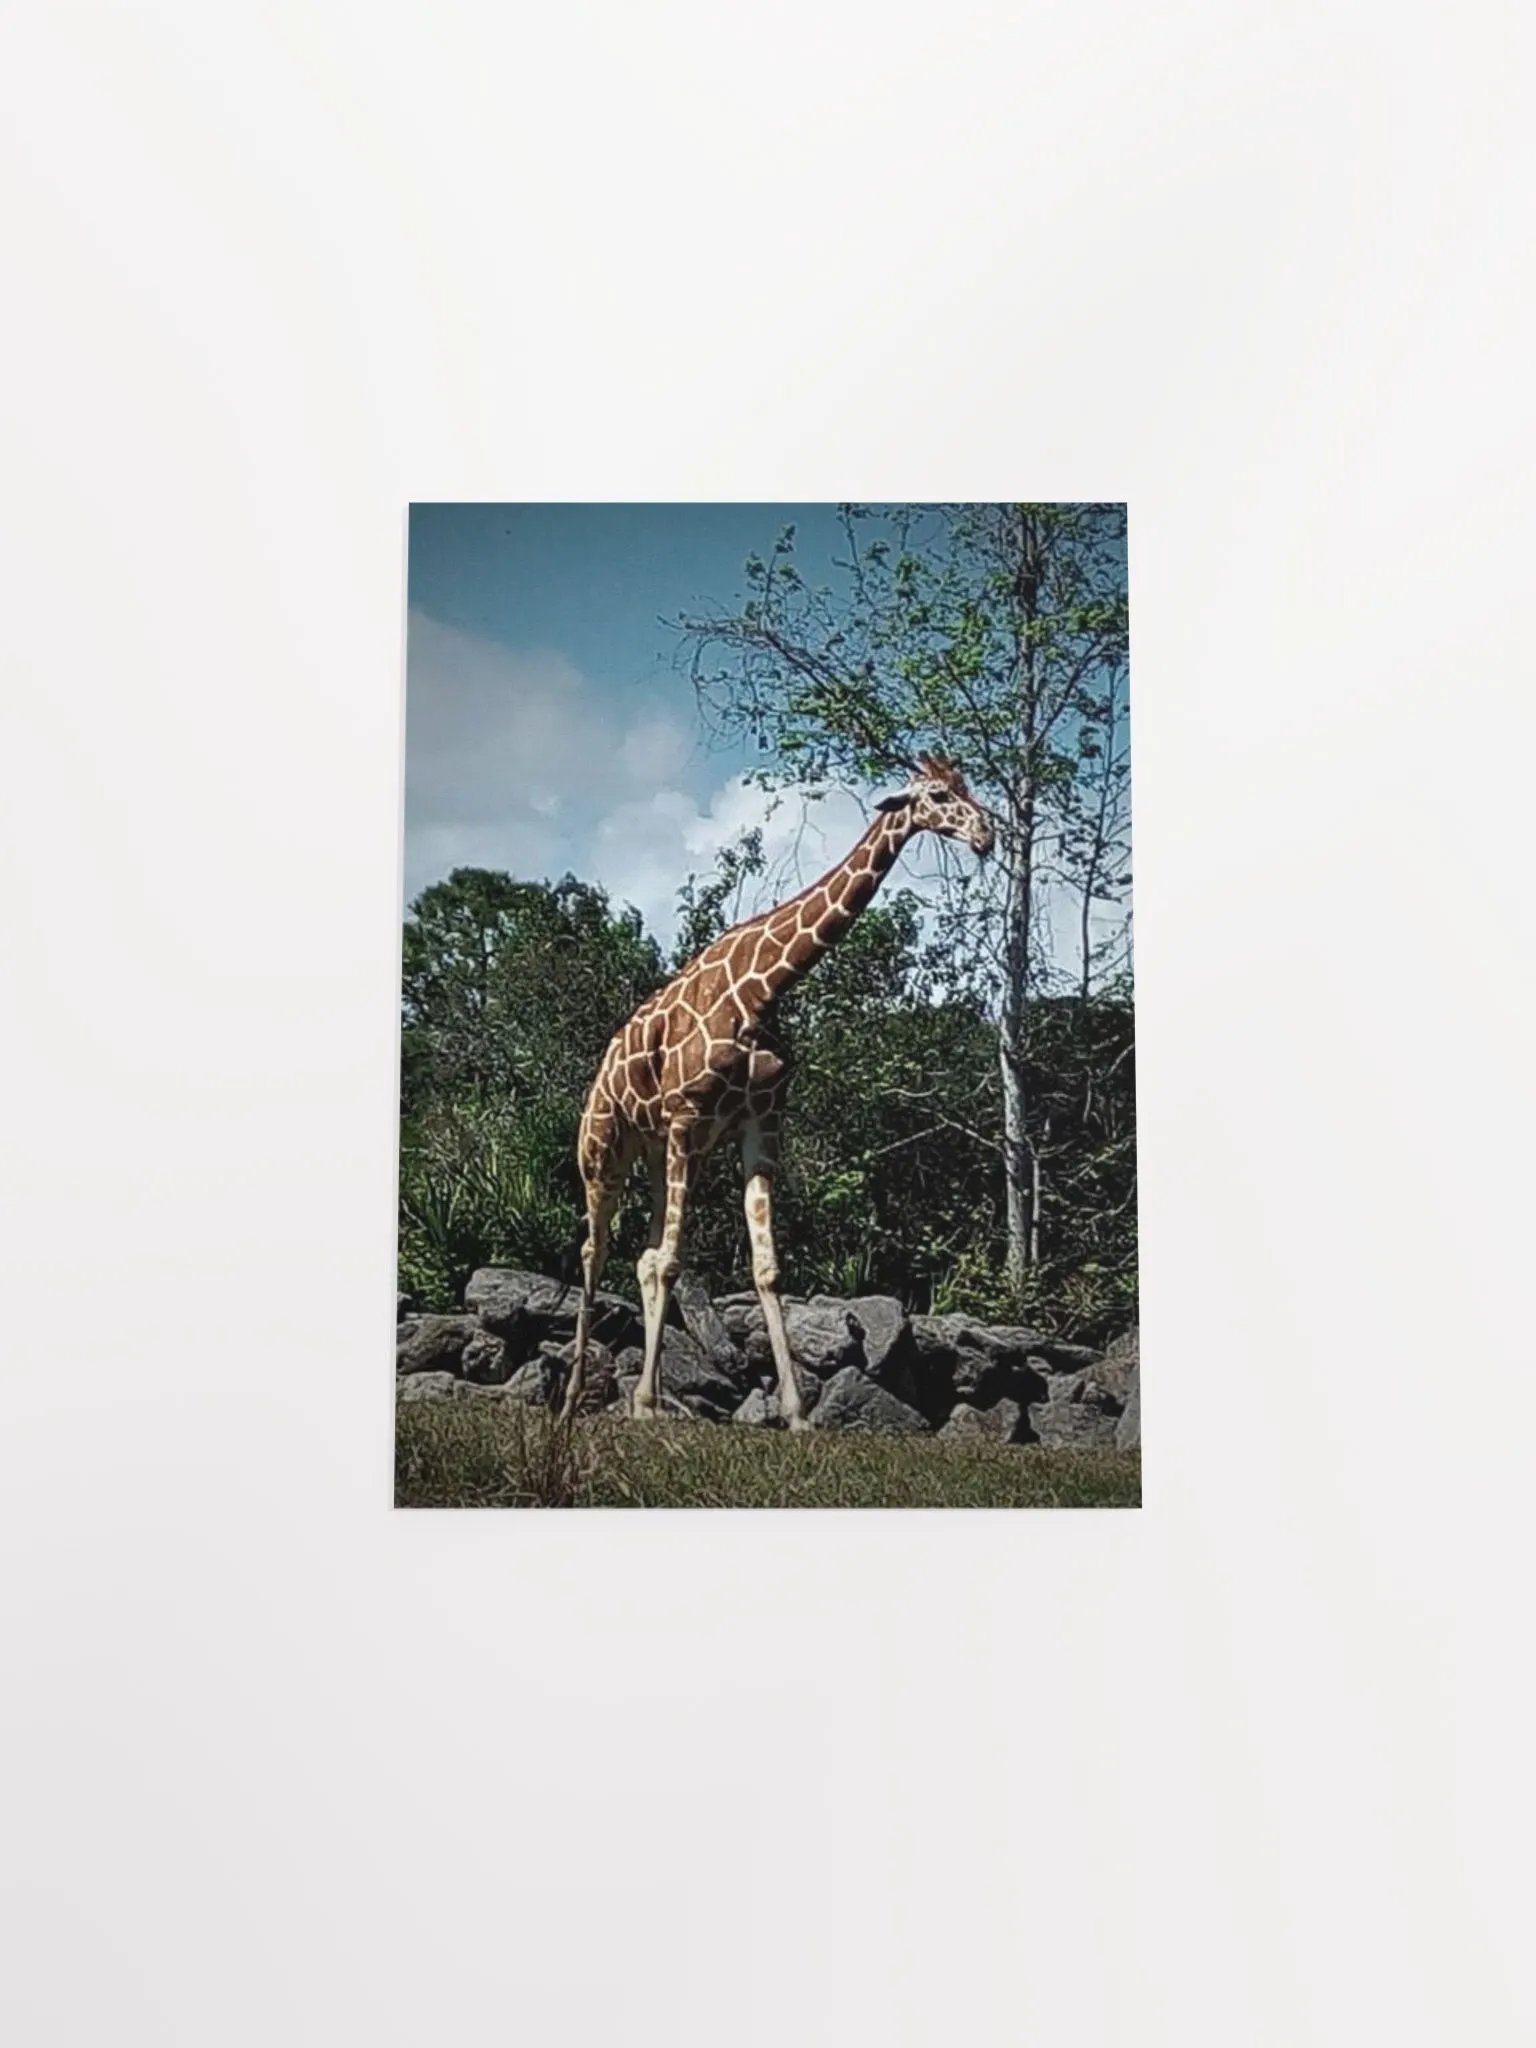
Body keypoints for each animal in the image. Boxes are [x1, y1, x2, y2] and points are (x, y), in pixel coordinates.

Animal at [559, 754, 995, 1429]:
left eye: (968, 788)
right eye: (940, 795)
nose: (986, 836)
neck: (762, 990)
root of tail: (600, 1075)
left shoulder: (759, 1122)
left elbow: (764, 1266)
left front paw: (796, 1413)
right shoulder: (688, 1117)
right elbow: (675, 1262)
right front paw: (647, 1401)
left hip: (659, 1153)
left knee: (642, 1256)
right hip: (605, 1148)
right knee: (594, 1247)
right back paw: (574, 1399)